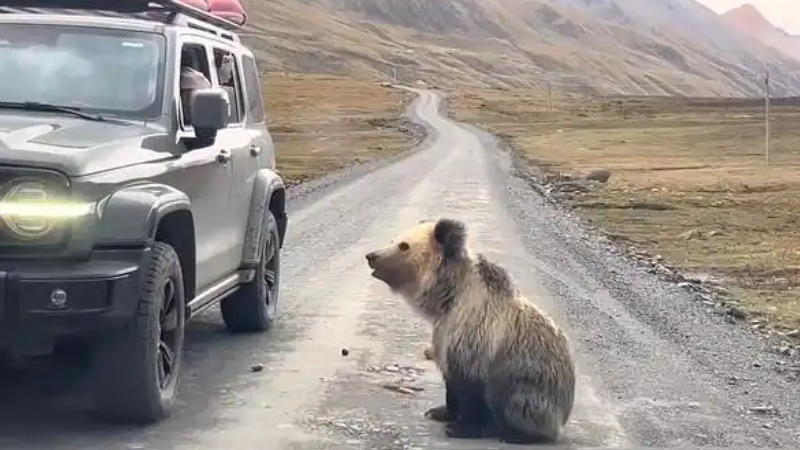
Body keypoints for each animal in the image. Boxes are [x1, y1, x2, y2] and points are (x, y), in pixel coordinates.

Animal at [365, 218, 576, 444]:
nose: (372, 256)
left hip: (532, 384)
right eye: (394, 240)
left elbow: (471, 388)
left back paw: (517, 434)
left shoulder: (475, 335)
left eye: (404, 245)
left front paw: (463, 427)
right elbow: (450, 381)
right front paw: (440, 412)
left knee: (518, 403)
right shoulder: (444, 334)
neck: (449, 297)